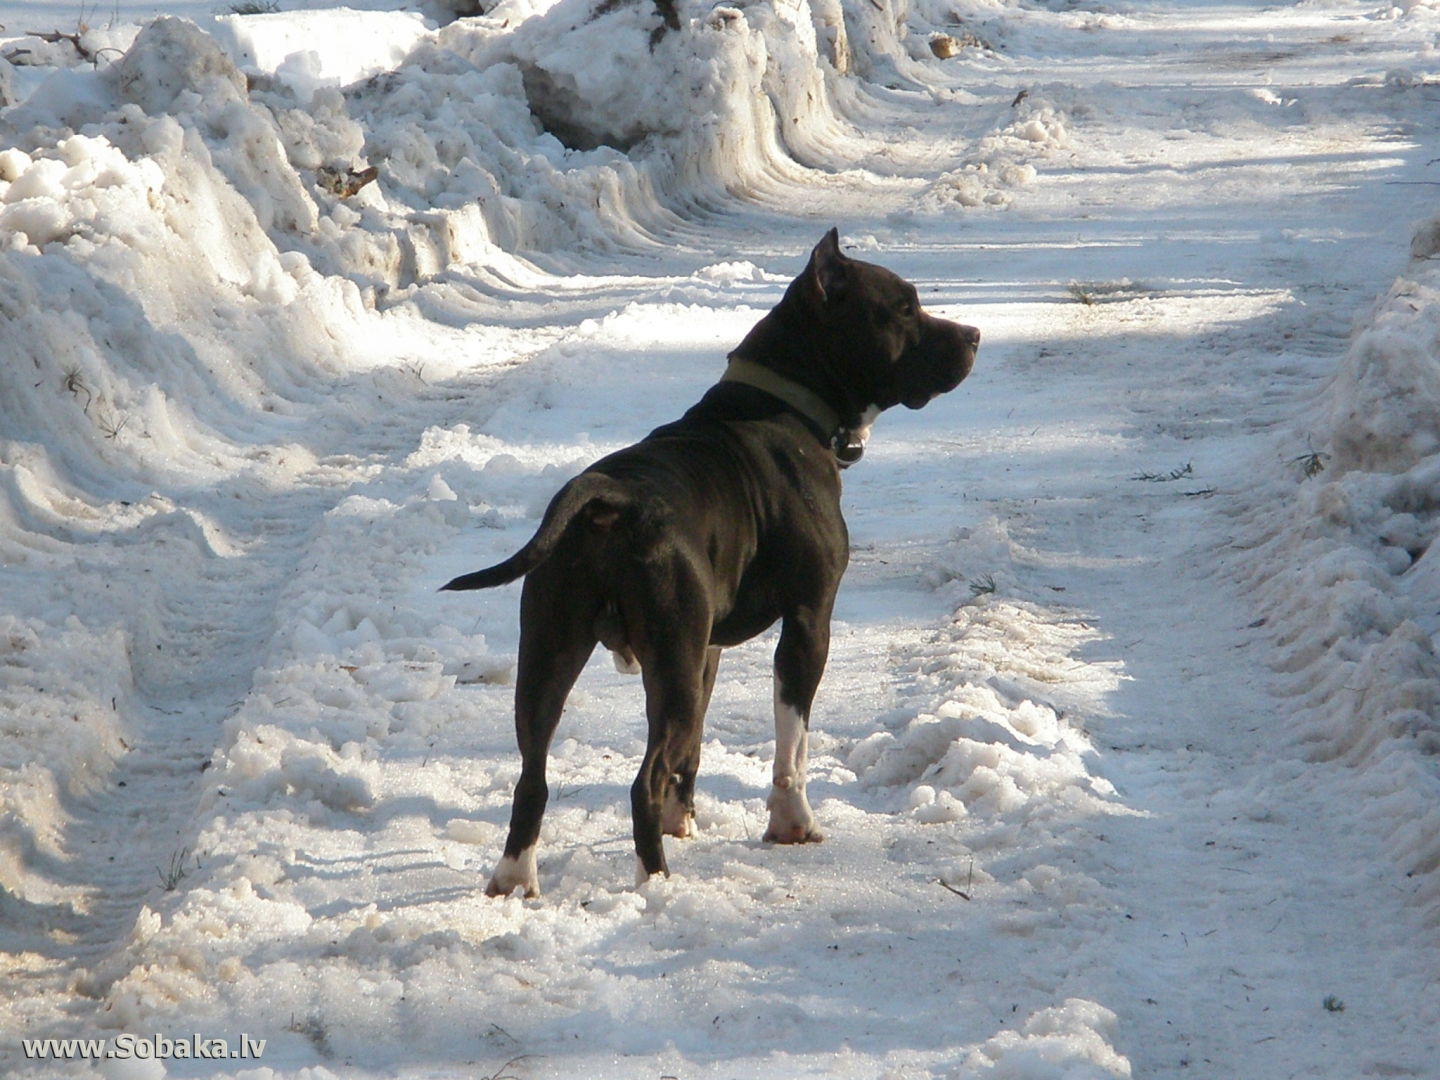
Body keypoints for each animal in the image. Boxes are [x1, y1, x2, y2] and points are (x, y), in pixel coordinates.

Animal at [440, 233, 979, 898]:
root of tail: (608, 500)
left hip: (555, 655)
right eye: (904, 308)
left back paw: (515, 880)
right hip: (660, 663)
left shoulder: (706, 650)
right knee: (641, 781)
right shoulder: (809, 622)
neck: (785, 402)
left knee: (533, 778)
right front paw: (793, 823)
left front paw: (684, 820)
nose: (974, 335)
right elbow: (792, 745)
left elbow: (693, 747)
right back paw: (656, 884)